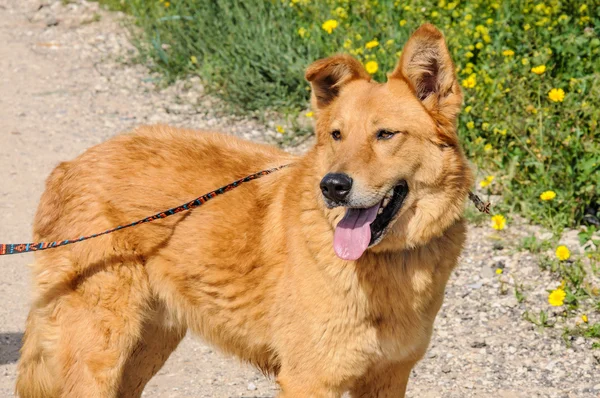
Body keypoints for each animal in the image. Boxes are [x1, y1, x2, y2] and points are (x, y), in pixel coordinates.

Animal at [15, 23, 474, 396]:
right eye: (336, 135)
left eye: (386, 134)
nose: (333, 187)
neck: (388, 263)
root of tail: (69, 166)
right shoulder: (309, 381)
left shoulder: (388, 377)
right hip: (101, 349)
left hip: (151, 342)